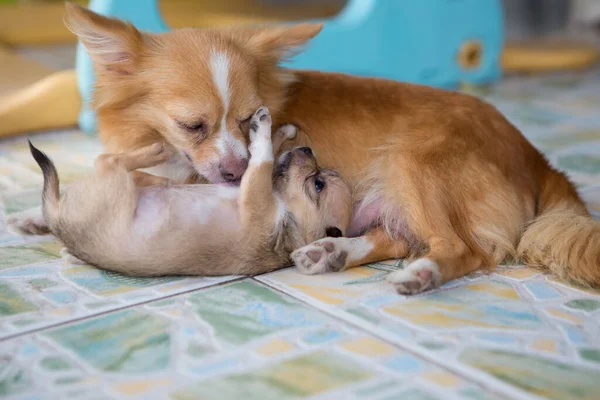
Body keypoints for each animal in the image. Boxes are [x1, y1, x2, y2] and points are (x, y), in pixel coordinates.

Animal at [10, 3, 600, 294]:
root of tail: (536, 157)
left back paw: (420, 275)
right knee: (396, 237)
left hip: (410, 163)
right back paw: (332, 252)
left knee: (462, 249)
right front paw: (39, 216)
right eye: (194, 125)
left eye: (247, 119)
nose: (236, 169)